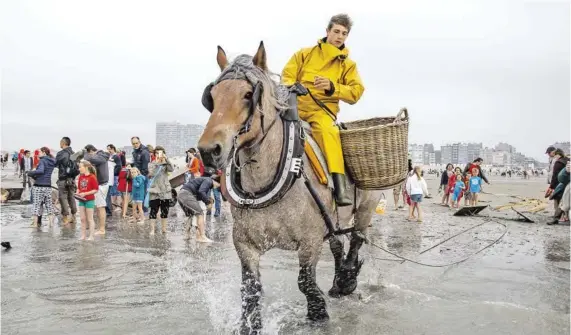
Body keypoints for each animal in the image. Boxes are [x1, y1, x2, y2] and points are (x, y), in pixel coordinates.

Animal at [198, 43, 384, 334]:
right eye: (213, 97)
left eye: (248, 94)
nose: (208, 151)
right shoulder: (245, 244)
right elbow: (250, 289)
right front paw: (250, 324)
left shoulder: (309, 241)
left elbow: (305, 282)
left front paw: (318, 312)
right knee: (338, 244)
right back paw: (338, 280)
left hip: (365, 208)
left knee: (356, 239)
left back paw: (346, 280)